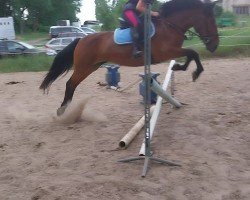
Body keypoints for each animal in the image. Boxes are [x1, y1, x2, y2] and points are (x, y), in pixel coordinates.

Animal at [39, 0, 219, 115]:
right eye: (210, 21)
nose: (214, 46)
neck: (169, 26)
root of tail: (81, 39)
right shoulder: (167, 52)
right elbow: (192, 52)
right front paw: (192, 72)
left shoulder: (172, 51)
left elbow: (191, 54)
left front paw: (180, 68)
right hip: (84, 66)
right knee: (70, 83)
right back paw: (62, 109)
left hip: (92, 66)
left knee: (73, 84)